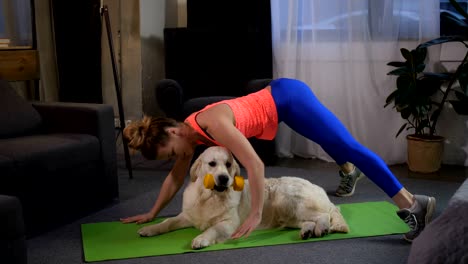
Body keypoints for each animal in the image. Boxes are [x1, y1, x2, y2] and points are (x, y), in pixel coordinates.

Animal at [137, 146, 350, 250]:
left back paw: (321, 228)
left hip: (286, 198)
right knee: (311, 219)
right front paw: (149, 228)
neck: (210, 197)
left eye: (229, 164)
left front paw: (200, 239)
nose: (224, 178)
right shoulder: (188, 215)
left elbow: (212, 229)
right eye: (212, 164)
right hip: (288, 213)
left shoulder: (229, 223)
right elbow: (168, 222)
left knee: (324, 215)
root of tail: (318, 187)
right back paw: (307, 231)